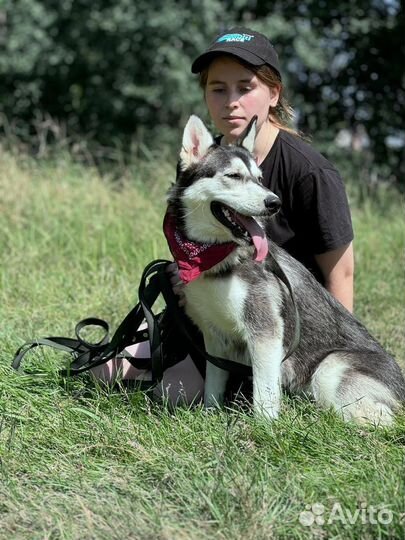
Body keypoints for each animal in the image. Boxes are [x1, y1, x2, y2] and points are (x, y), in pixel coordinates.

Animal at [164, 115, 404, 426]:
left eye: (259, 178)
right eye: (233, 176)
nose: (273, 202)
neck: (215, 258)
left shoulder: (265, 333)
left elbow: (264, 396)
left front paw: (263, 428)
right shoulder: (215, 337)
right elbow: (213, 388)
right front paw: (210, 416)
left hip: (329, 369)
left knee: (379, 419)